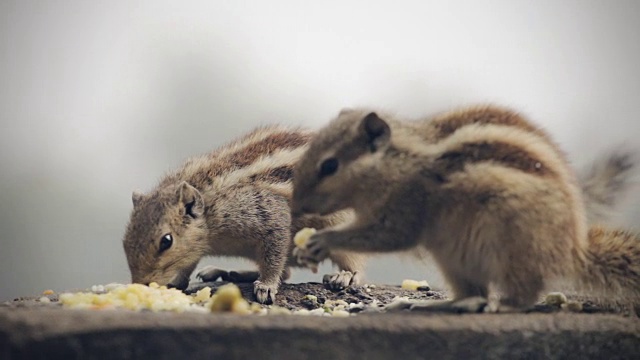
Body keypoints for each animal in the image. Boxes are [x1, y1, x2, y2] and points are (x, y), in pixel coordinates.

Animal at [124, 124, 364, 304]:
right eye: (125, 242)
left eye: (166, 241)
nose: (140, 283)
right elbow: (188, 263)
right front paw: (177, 281)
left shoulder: (267, 214)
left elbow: (274, 258)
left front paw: (266, 286)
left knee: (355, 268)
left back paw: (343, 276)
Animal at [292, 105, 636, 310]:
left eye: (330, 166)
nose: (295, 205)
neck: (398, 162)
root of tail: (572, 250)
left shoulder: (407, 205)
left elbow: (388, 235)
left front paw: (321, 241)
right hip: (453, 257)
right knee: (473, 294)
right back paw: (428, 304)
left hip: (512, 247)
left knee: (523, 294)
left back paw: (502, 305)